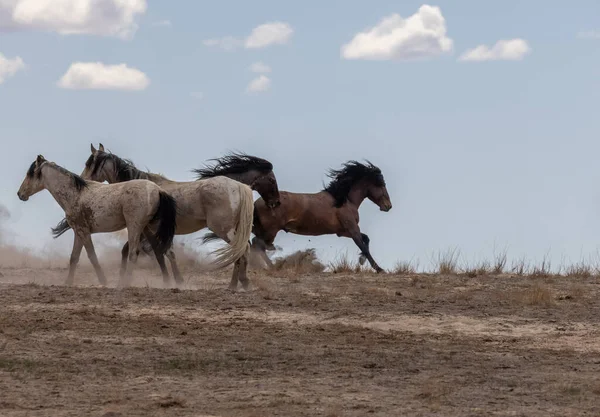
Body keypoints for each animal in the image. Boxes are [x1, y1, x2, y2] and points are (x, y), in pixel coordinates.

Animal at [15, 154, 176, 288]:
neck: (75, 194)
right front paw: (68, 283)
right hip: (147, 228)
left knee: (134, 253)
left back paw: (125, 284)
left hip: (134, 227)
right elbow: (74, 258)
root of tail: (158, 190)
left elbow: (92, 256)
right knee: (159, 250)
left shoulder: (83, 231)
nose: (20, 194)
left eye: (30, 173)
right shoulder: (78, 232)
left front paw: (103, 281)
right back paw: (167, 282)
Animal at [205, 160, 394, 272]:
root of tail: (257, 202)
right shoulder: (351, 228)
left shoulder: (343, 231)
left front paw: (362, 261)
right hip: (271, 230)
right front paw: (379, 268)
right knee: (258, 245)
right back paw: (274, 266)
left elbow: (366, 240)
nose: (388, 206)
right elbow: (363, 244)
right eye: (381, 184)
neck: (343, 200)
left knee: (255, 245)